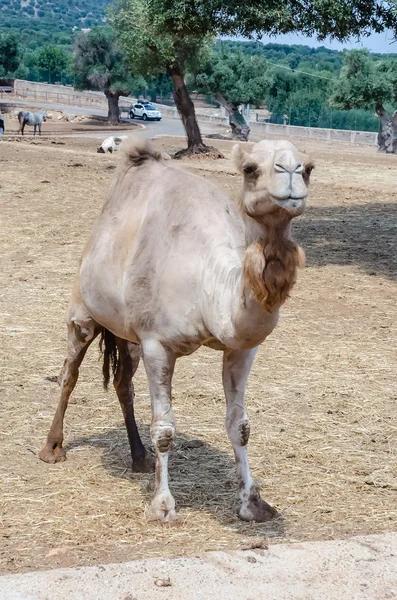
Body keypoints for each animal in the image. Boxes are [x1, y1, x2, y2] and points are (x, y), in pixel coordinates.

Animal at [40, 138, 312, 524]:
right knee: (70, 372)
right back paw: (52, 448)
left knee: (123, 382)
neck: (207, 281)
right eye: (249, 169)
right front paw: (162, 505)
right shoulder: (157, 344)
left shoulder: (241, 347)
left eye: (309, 168)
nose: (290, 171)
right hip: (83, 310)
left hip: (128, 334)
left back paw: (140, 458)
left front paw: (254, 503)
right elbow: (165, 429)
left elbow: (240, 426)